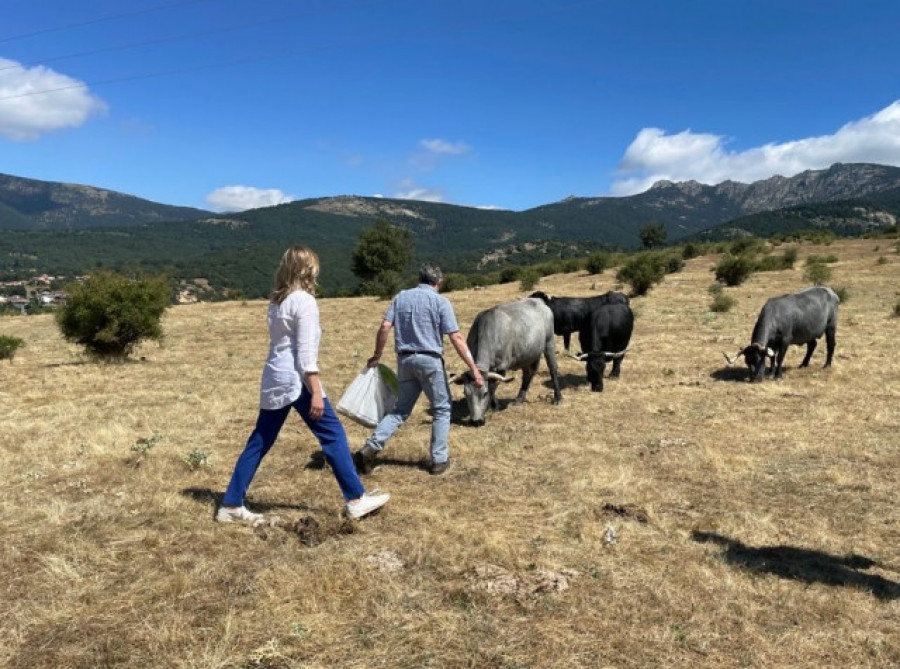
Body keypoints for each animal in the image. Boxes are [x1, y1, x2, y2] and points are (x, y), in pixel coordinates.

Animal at [450, 296, 564, 426]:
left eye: (484, 393)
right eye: (465, 393)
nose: (476, 421)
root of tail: (538, 301)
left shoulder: (501, 367)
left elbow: (493, 386)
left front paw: (493, 406)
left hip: (549, 343)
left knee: (553, 368)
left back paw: (558, 398)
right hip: (526, 354)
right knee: (528, 374)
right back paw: (519, 399)